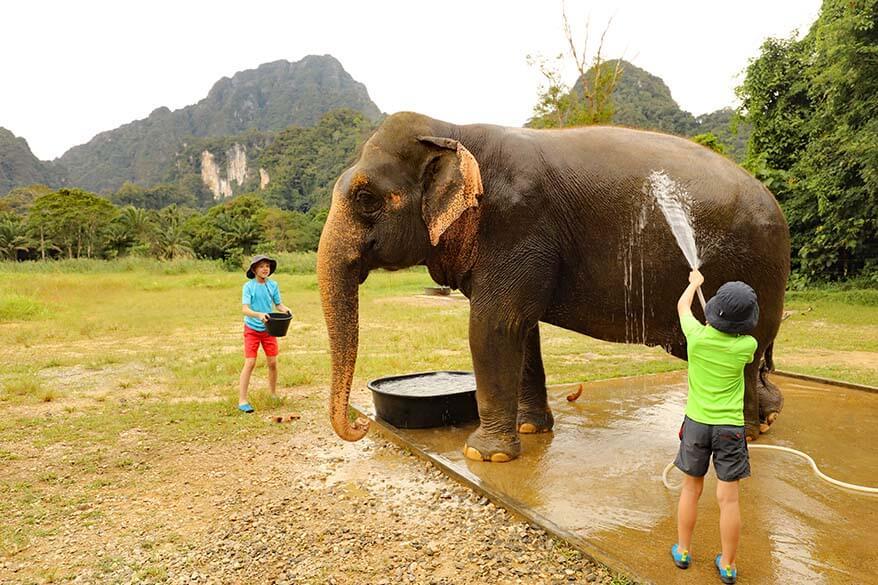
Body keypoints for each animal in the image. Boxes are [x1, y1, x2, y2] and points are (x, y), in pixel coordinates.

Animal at [320, 112, 796, 464]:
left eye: (365, 199)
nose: (360, 426)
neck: (452, 128)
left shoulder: (517, 224)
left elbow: (494, 325)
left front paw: (485, 456)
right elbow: (522, 330)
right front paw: (530, 430)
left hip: (754, 274)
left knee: (746, 356)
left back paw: (745, 433)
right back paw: (766, 419)